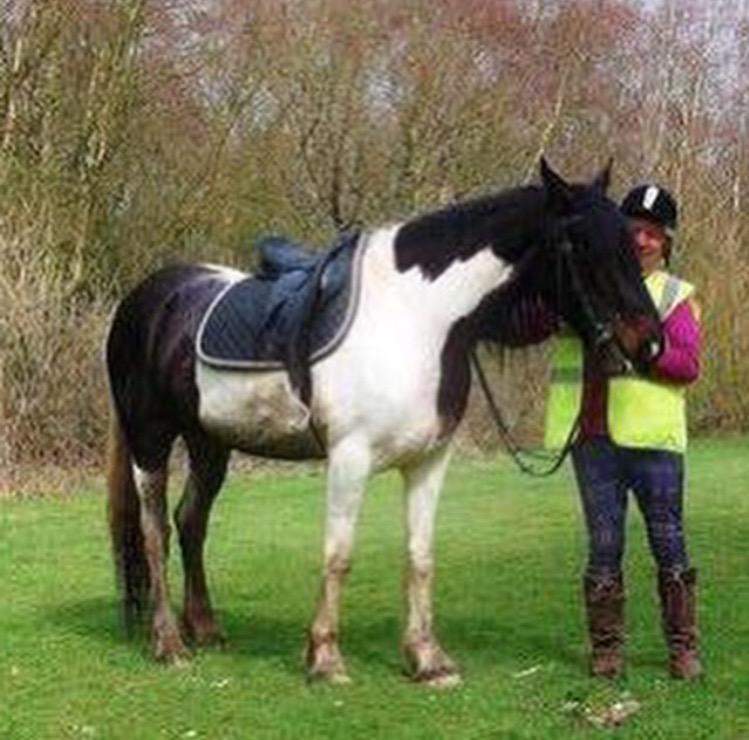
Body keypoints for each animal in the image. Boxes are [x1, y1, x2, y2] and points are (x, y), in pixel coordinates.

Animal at [105, 158, 662, 687]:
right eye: (580, 243)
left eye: (631, 242)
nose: (651, 344)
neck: (419, 317)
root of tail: (145, 299)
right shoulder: (349, 457)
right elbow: (338, 555)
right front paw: (325, 658)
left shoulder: (429, 461)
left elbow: (420, 556)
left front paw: (428, 659)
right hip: (151, 439)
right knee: (155, 530)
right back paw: (169, 643)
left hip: (209, 442)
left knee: (191, 522)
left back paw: (204, 629)